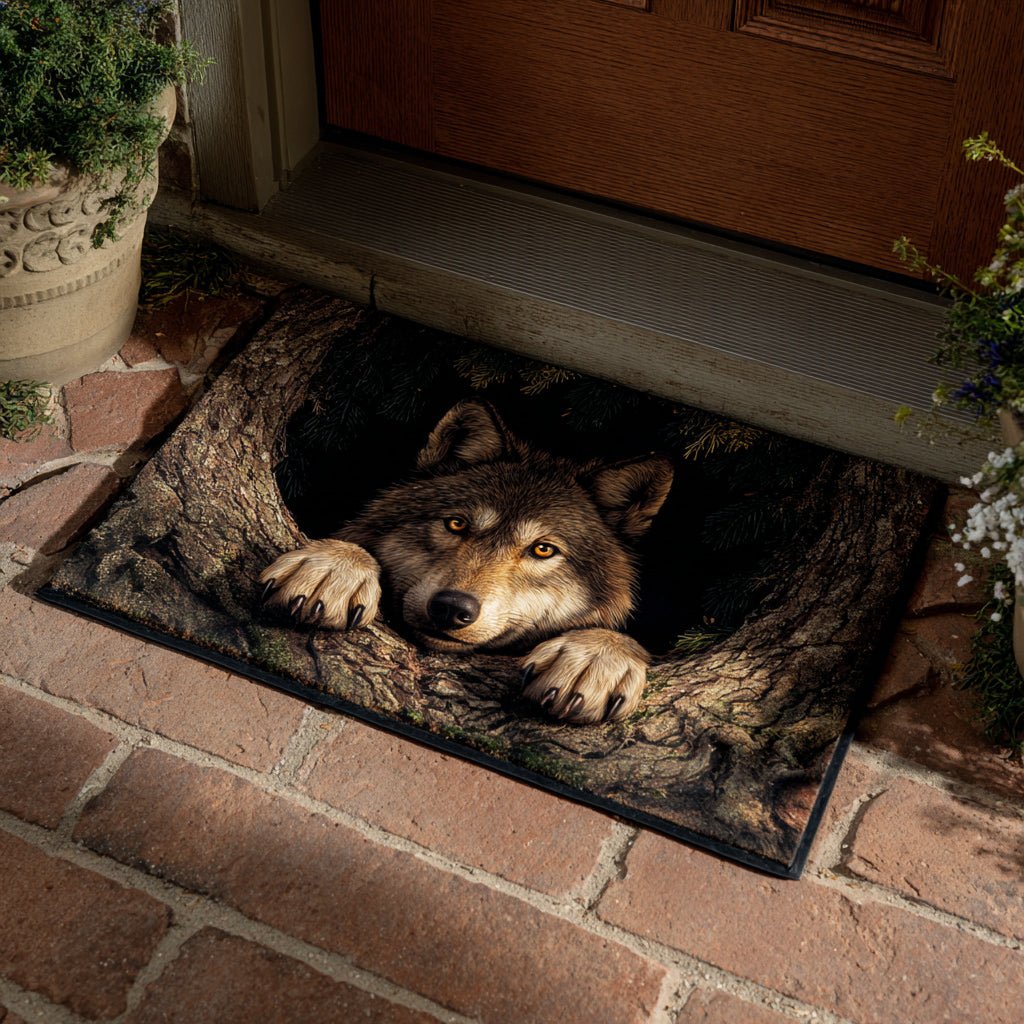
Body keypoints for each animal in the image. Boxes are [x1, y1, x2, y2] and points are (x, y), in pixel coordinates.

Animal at [260, 400, 673, 724]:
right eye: (456, 524)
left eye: (543, 549)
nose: (452, 607)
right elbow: (357, 549)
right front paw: (333, 567)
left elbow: (622, 638)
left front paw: (598, 657)